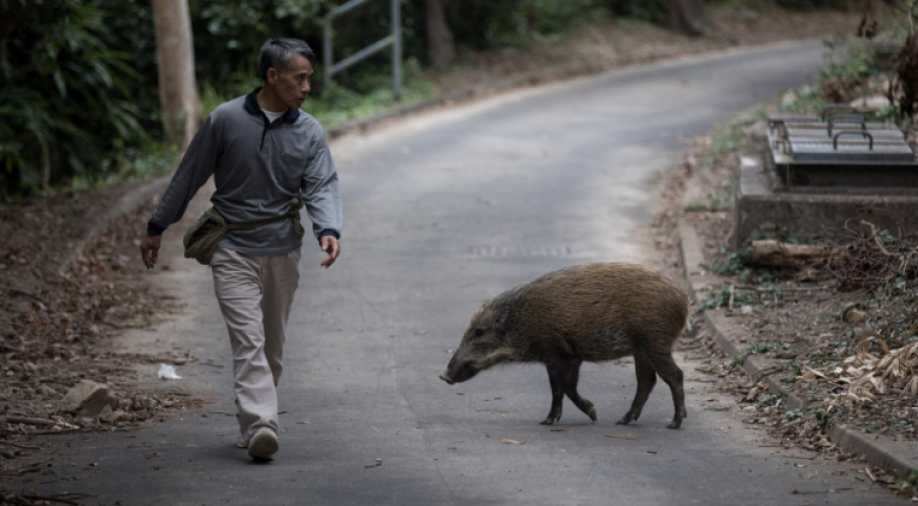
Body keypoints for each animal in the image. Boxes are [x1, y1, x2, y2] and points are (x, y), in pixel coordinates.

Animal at [439, 263, 689, 429]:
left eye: (479, 332)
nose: (444, 376)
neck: (521, 322)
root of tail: (682, 299)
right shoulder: (565, 357)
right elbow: (563, 387)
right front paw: (572, 416)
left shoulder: (559, 353)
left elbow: (562, 388)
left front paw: (558, 419)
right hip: (641, 349)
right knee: (647, 381)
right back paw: (623, 421)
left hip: (655, 342)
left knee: (674, 375)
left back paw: (674, 423)